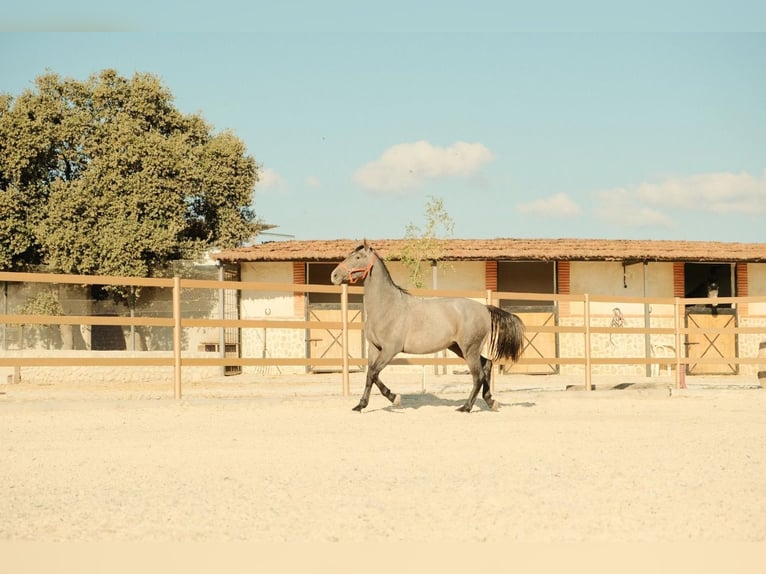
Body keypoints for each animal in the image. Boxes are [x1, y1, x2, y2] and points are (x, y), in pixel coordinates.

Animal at [331, 241, 525, 412]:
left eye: (357, 257)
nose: (334, 275)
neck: (387, 306)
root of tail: (484, 308)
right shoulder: (374, 348)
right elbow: (370, 375)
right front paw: (360, 405)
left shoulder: (390, 350)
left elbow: (372, 374)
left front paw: (394, 398)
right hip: (459, 348)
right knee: (487, 365)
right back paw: (491, 401)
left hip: (469, 349)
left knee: (478, 376)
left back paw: (466, 407)